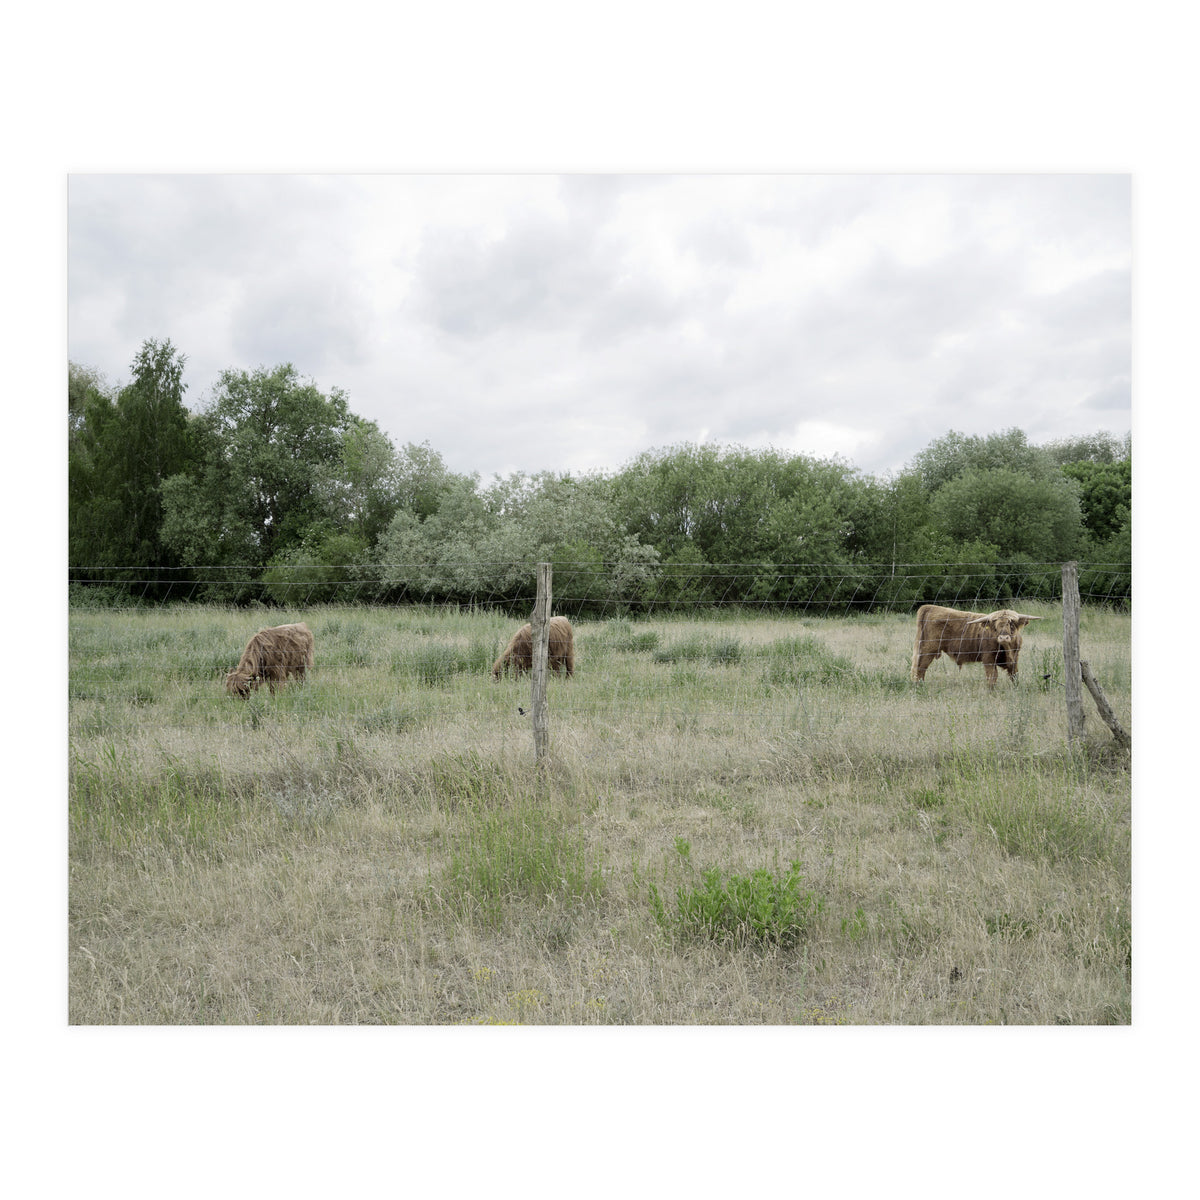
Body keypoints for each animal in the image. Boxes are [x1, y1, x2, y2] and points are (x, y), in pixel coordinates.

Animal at [910, 604, 1042, 688]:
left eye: (1012, 625)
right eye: (996, 626)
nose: (1003, 637)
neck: (1006, 649)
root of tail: (929, 607)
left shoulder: (1015, 658)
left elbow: (1014, 675)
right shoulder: (988, 659)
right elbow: (992, 677)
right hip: (927, 650)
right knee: (920, 668)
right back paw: (919, 687)